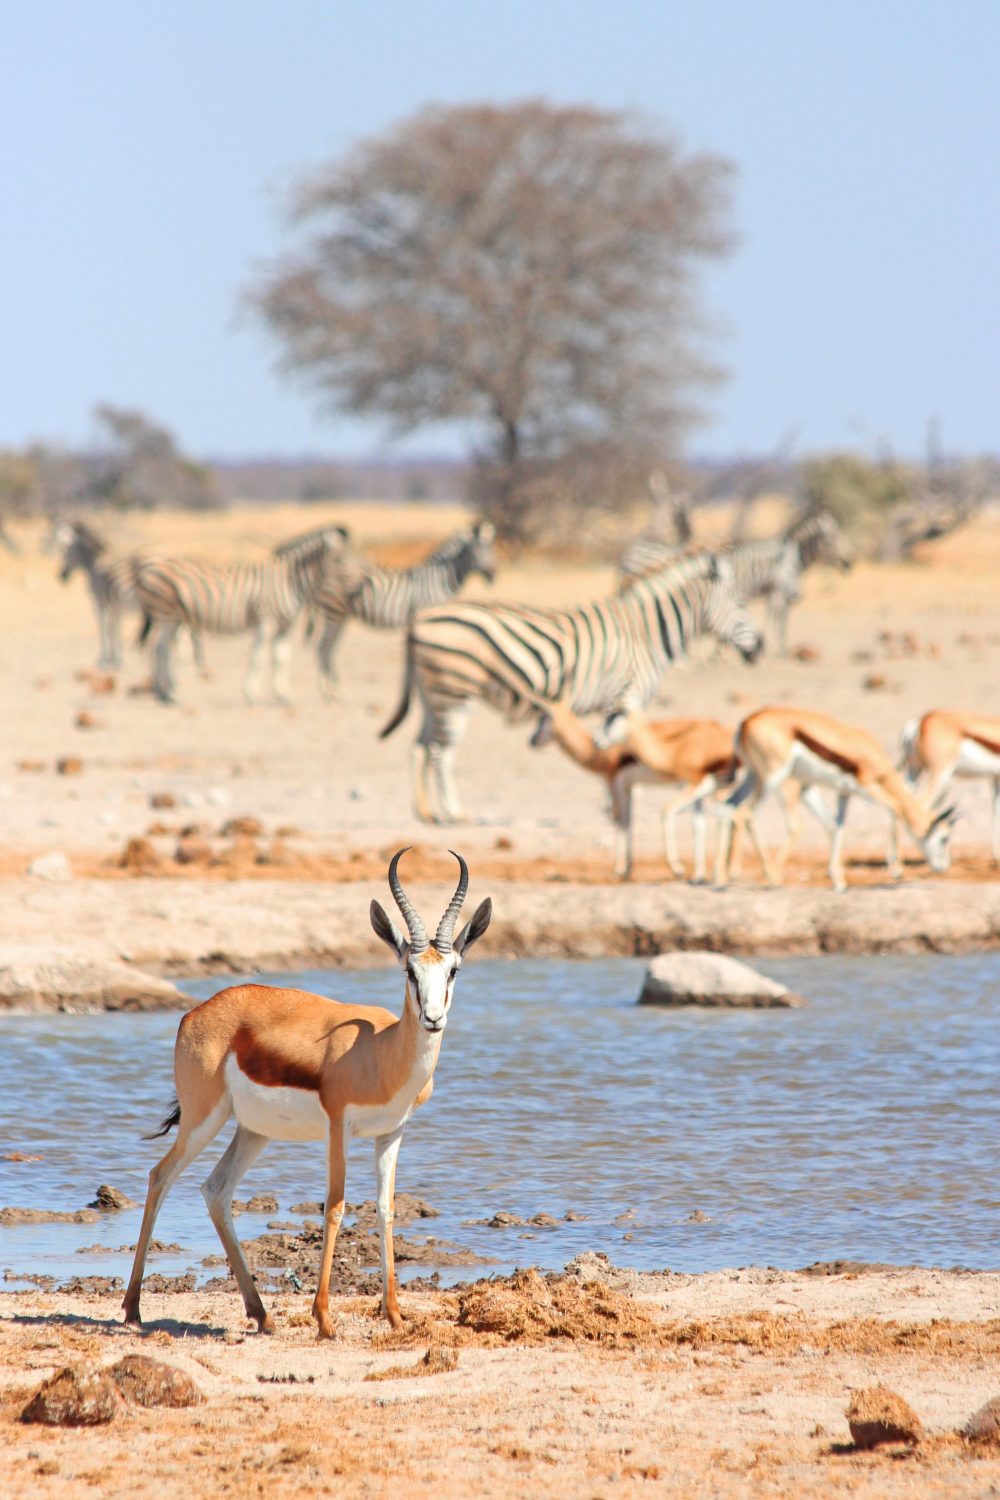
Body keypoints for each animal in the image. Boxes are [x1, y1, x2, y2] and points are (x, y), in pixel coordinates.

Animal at [134, 527, 352, 704]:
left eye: (352, 557)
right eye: (338, 559)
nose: (353, 591)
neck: (290, 581)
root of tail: (151, 564)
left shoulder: (284, 626)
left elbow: (281, 659)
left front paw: (283, 695)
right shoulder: (265, 620)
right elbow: (258, 657)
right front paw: (251, 694)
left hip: (175, 618)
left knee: (160, 649)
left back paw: (164, 693)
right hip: (166, 615)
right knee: (159, 649)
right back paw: (169, 694)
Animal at [289, 520, 497, 695]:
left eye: (490, 549)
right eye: (476, 551)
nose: (492, 574)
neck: (438, 580)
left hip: (341, 615)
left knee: (328, 647)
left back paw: (333, 688)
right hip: (334, 611)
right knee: (323, 646)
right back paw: (328, 691)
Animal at [379, 551, 762, 823]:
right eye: (741, 603)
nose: (760, 646)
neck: (644, 630)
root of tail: (419, 617)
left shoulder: (616, 702)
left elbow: (611, 744)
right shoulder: (627, 694)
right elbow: (621, 745)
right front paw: (619, 801)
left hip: (432, 696)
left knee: (419, 747)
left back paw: (425, 812)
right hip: (454, 692)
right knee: (440, 753)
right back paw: (453, 812)